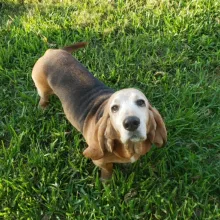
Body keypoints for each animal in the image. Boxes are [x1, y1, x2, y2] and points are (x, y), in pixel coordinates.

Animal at [32, 42, 167, 180]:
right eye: (114, 108)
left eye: (141, 102)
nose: (131, 123)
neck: (129, 147)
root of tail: (52, 51)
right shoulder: (100, 162)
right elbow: (107, 170)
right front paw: (105, 181)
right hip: (42, 88)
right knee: (44, 97)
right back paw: (43, 108)